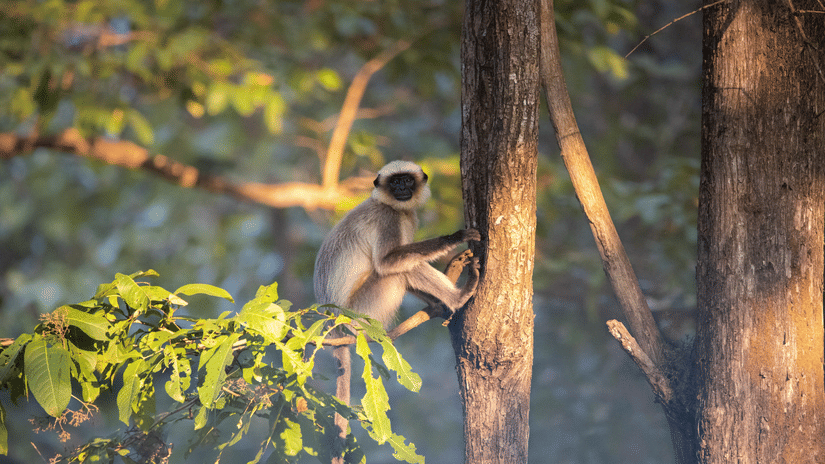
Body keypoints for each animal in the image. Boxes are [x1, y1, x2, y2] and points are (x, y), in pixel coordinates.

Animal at [312, 160, 480, 461]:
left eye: (407, 181)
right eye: (395, 183)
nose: (402, 188)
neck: (386, 203)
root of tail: (335, 324)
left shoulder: (407, 217)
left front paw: (439, 302)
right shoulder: (389, 218)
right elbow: (389, 263)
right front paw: (456, 237)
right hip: (363, 310)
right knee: (397, 271)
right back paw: (459, 297)